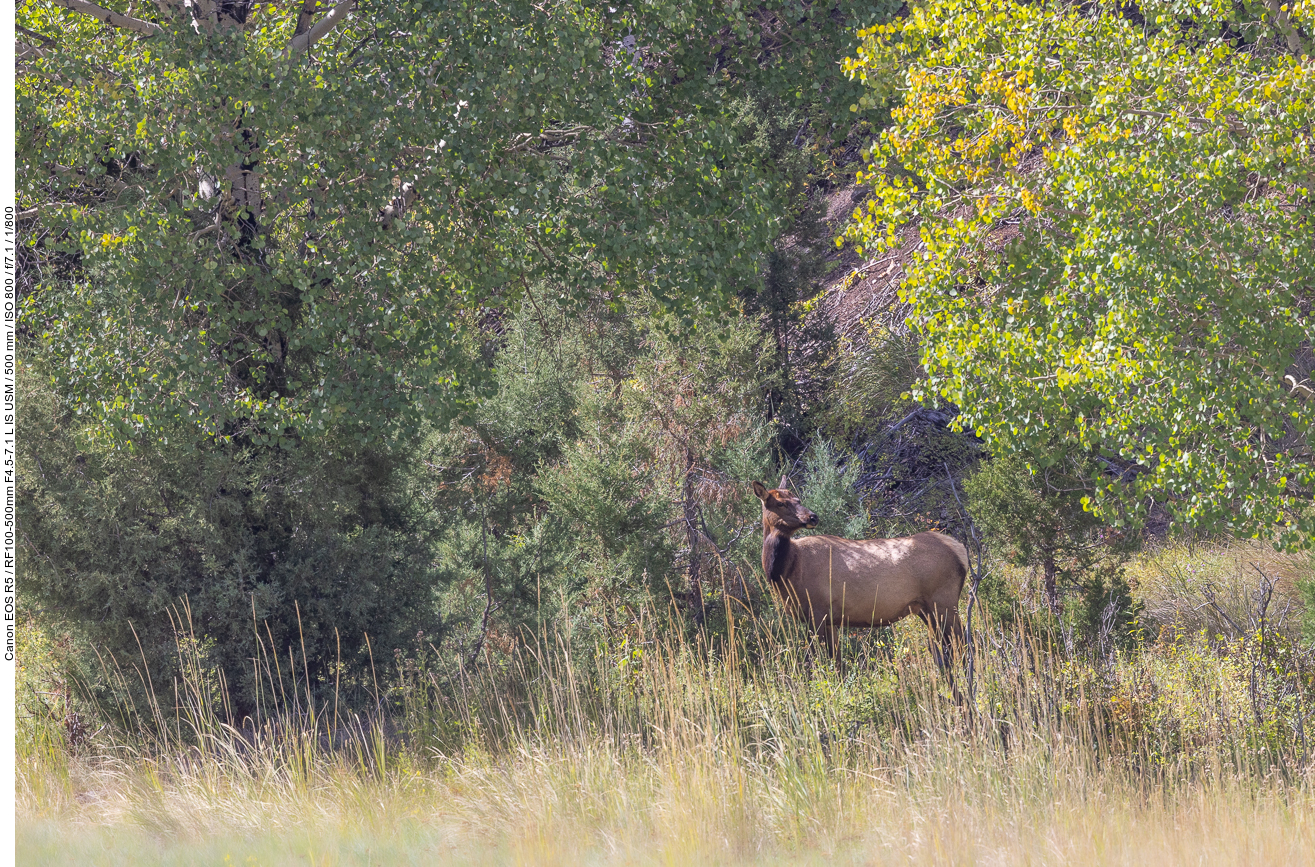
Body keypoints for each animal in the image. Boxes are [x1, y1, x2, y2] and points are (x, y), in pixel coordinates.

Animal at [752, 481, 967, 665]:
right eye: (780, 503)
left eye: (797, 499)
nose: (813, 516)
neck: (785, 573)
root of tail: (959, 550)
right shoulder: (829, 619)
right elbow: (837, 663)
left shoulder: (817, 611)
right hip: (927, 609)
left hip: (943, 601)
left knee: (963, 645)